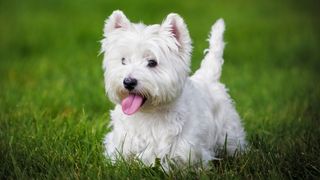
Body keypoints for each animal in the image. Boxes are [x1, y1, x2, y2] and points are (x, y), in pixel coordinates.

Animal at [101, 9, 246, 167]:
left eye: (152, 62)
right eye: (123, 60)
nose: (128, 82)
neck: (148, 114)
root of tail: (208, 76)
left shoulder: (186, 150)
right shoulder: (120, 144)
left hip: (229, 131)